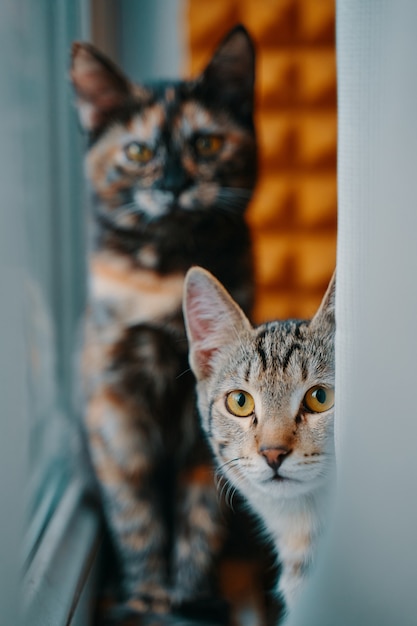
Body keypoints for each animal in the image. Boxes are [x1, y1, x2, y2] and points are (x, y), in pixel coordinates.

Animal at [69, 25, 255, 616]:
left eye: (207, 145)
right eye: (138, 151)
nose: (173, 184)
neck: (169, 278)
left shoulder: (212, 416)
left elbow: (200, 514)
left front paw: (193, 598)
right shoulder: (115, 408)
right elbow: (138, 516)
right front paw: (149, 598)